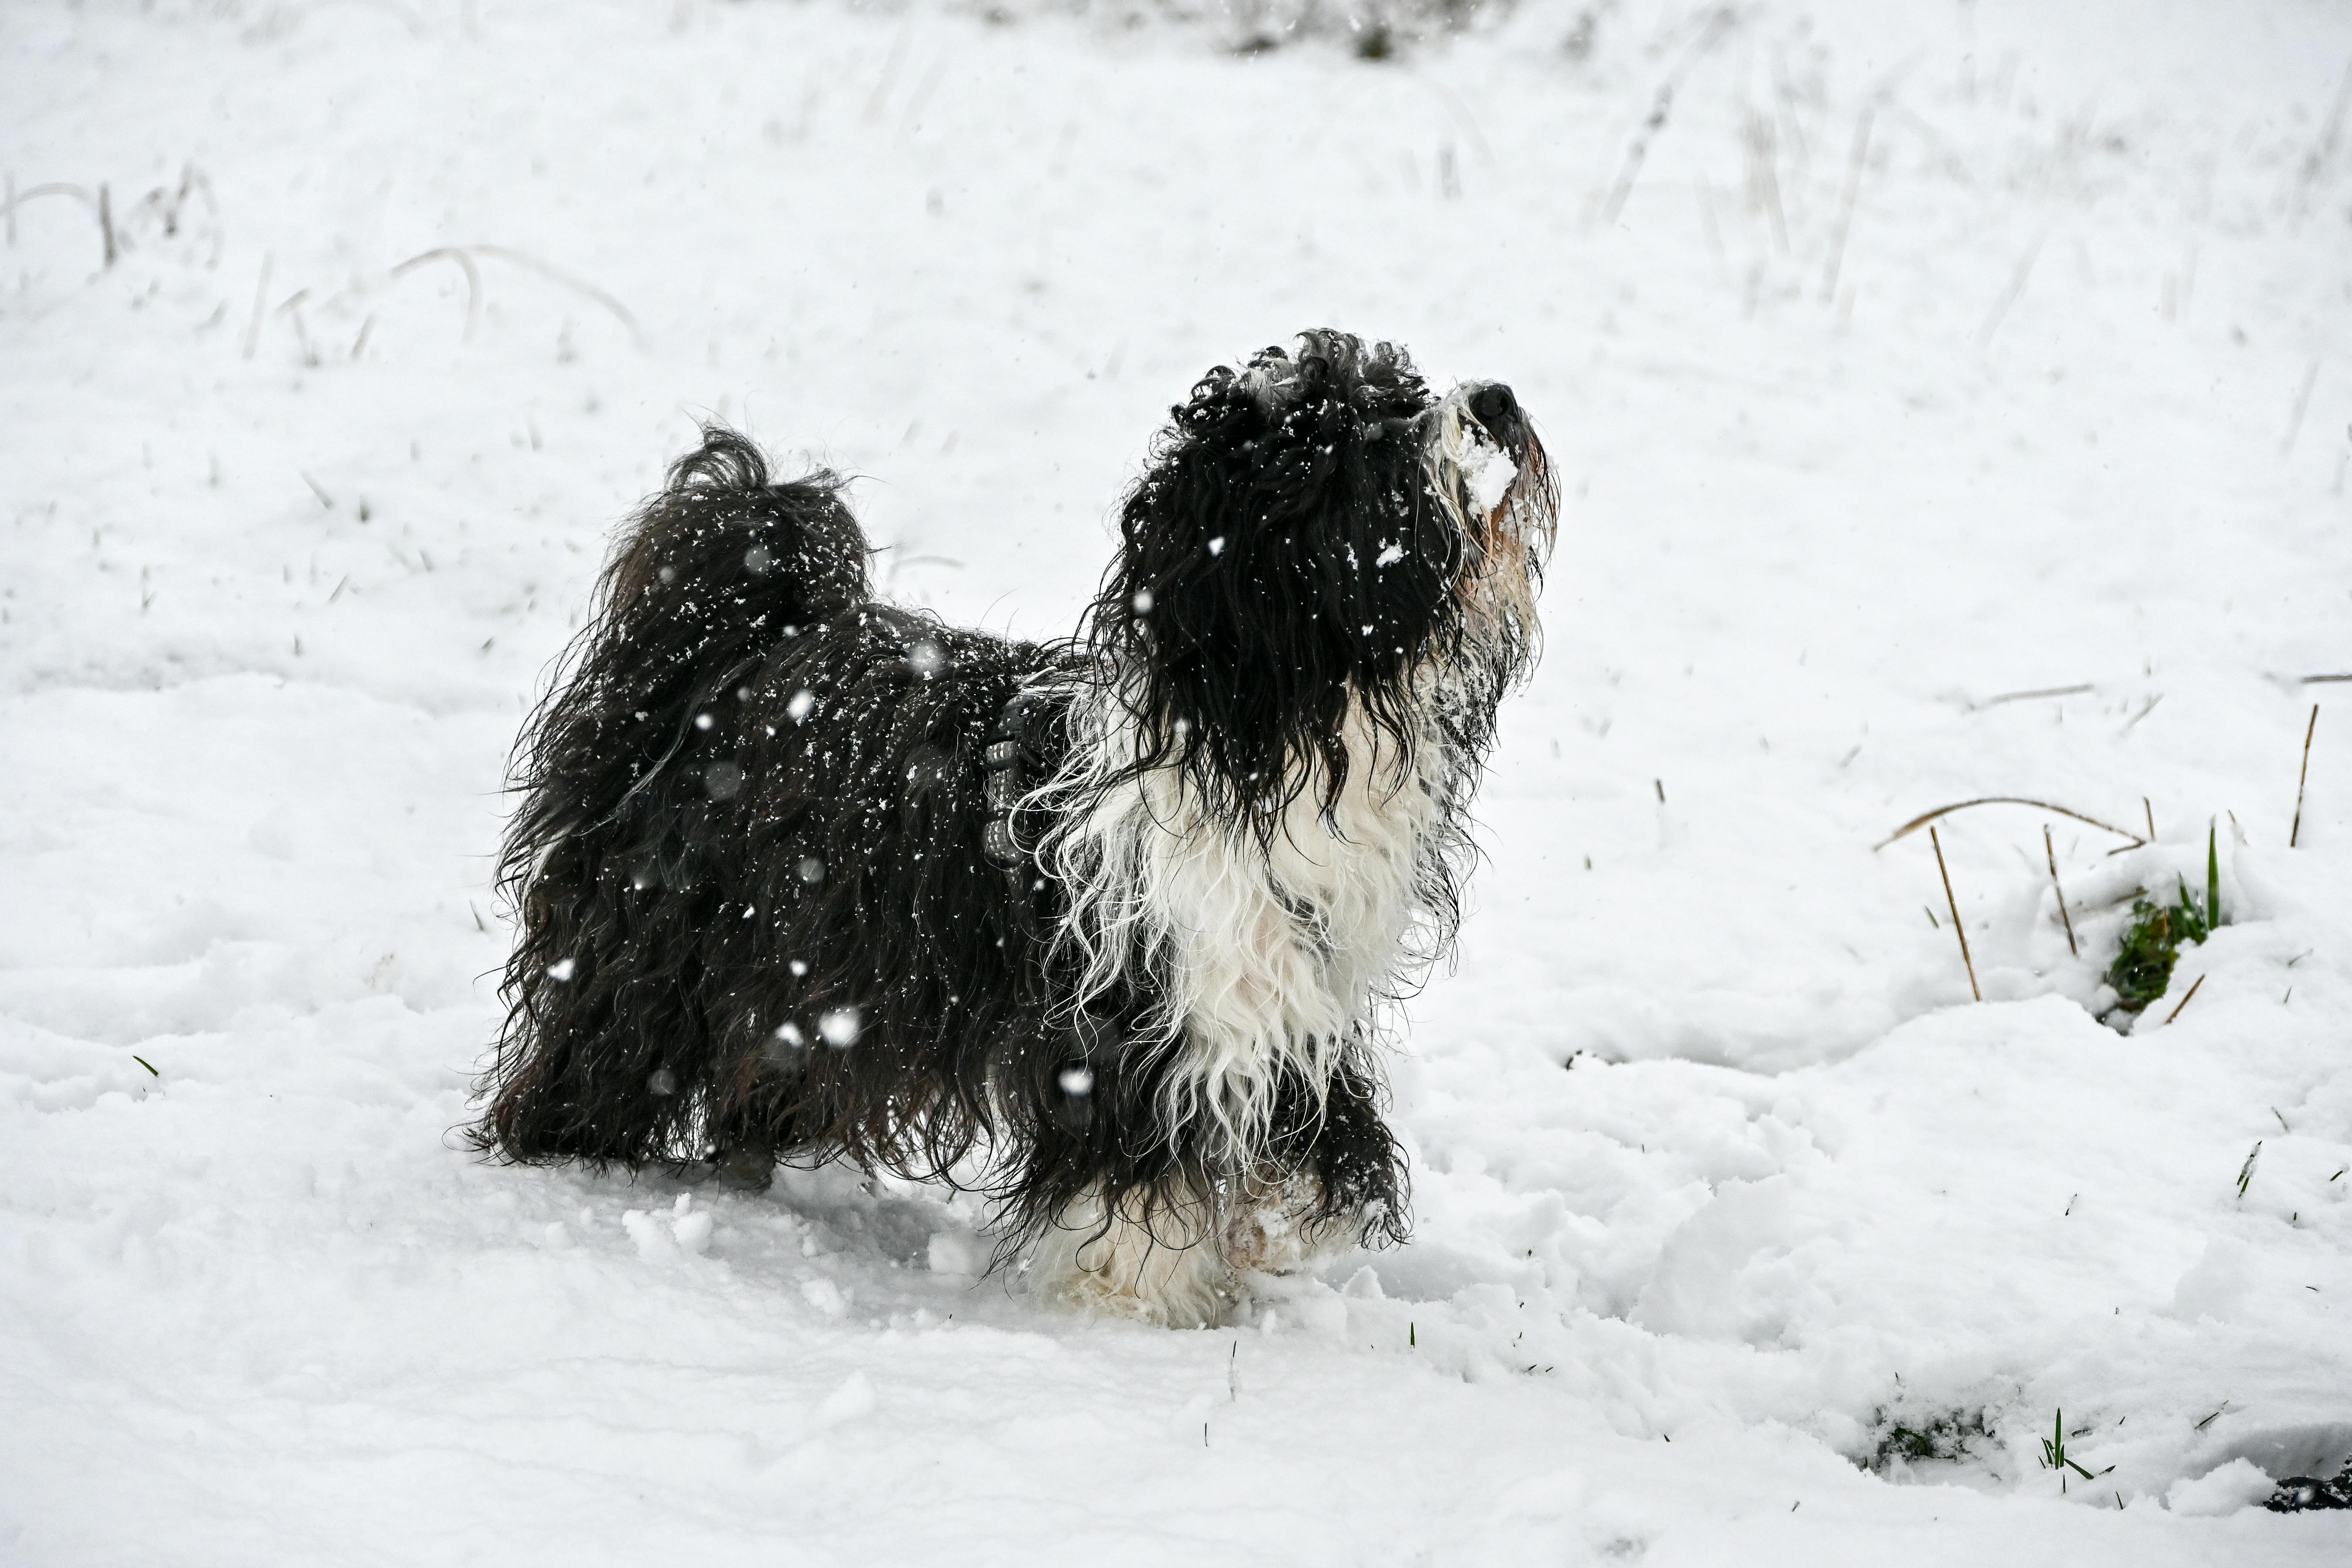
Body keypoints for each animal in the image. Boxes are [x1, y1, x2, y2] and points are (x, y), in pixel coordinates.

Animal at [468, 329, 1552, 1326]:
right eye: (1358, 441)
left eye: (1404, 392)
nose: (1496, 401)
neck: (1264, 729)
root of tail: (747, 625)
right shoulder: (1143, 1005)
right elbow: (1139, 1166)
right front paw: (1135, 1300)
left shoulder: (1287, 989)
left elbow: (1314, 1133)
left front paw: (1273, 1226)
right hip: (658, 943)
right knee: (600, 1044)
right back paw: (574, 1160)